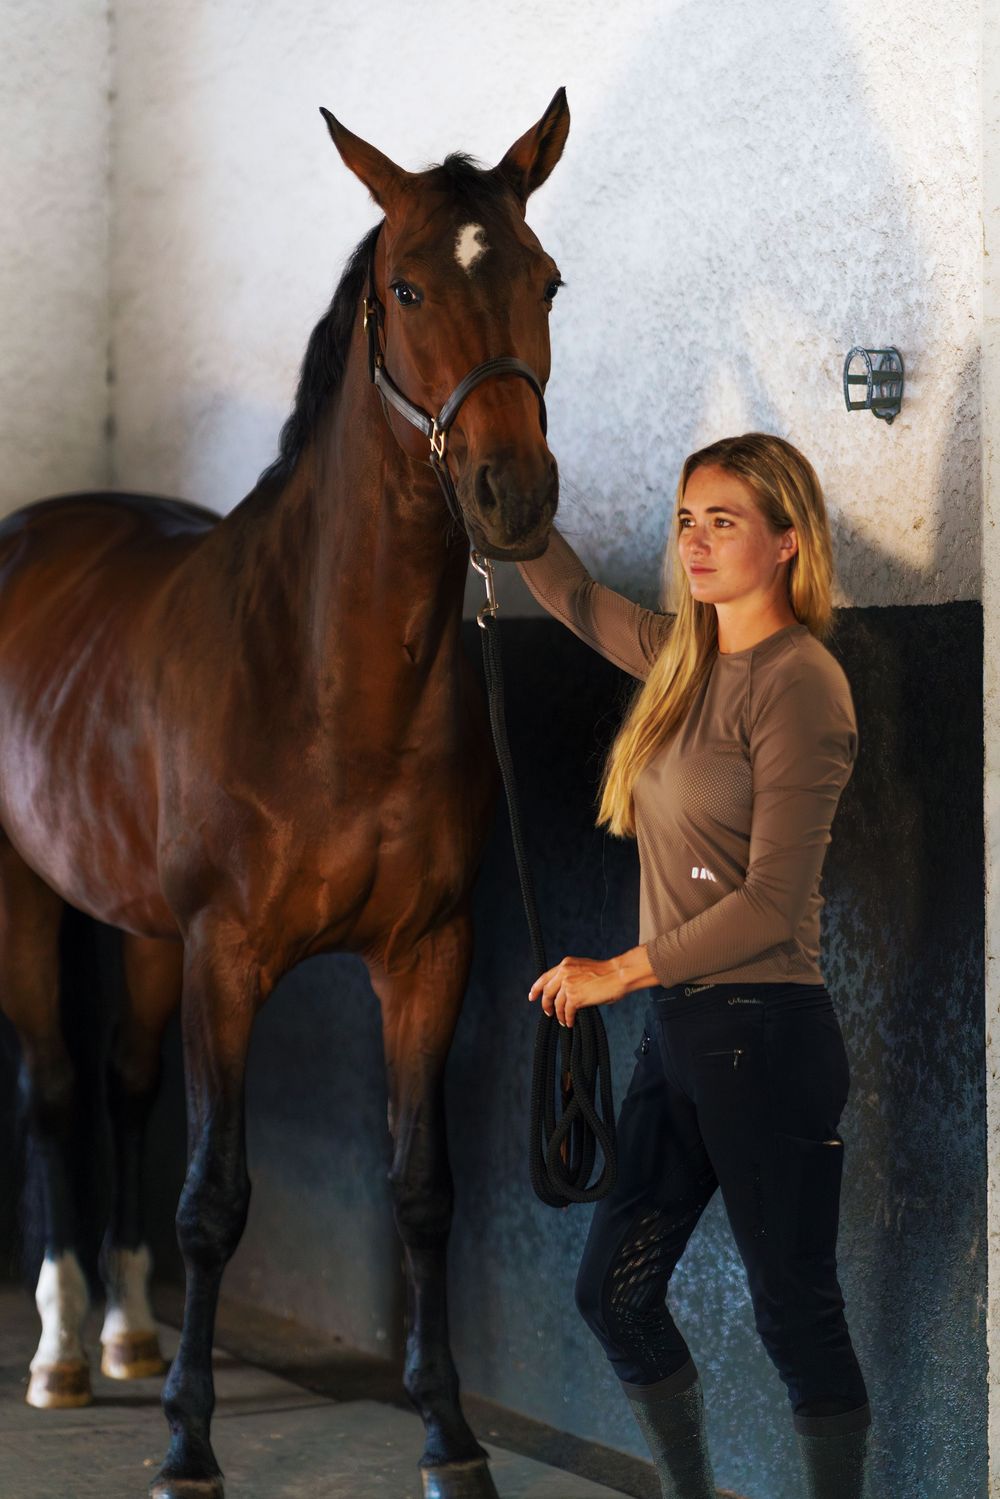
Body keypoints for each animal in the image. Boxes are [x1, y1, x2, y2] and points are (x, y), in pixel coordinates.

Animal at [1, 88, 569, 1499]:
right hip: (27, 893)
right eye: (406, 286)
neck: (329, 683)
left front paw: (449, 1436)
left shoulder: (427, 953)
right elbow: (216, 1199)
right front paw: (188, 1445)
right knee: (54, 1090)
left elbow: (422, 1189)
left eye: (545, 279)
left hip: (146, 928)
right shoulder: (231, 953)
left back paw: (128, 1332)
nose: (513, 495)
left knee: (125, 1081)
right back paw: (61, 1352)